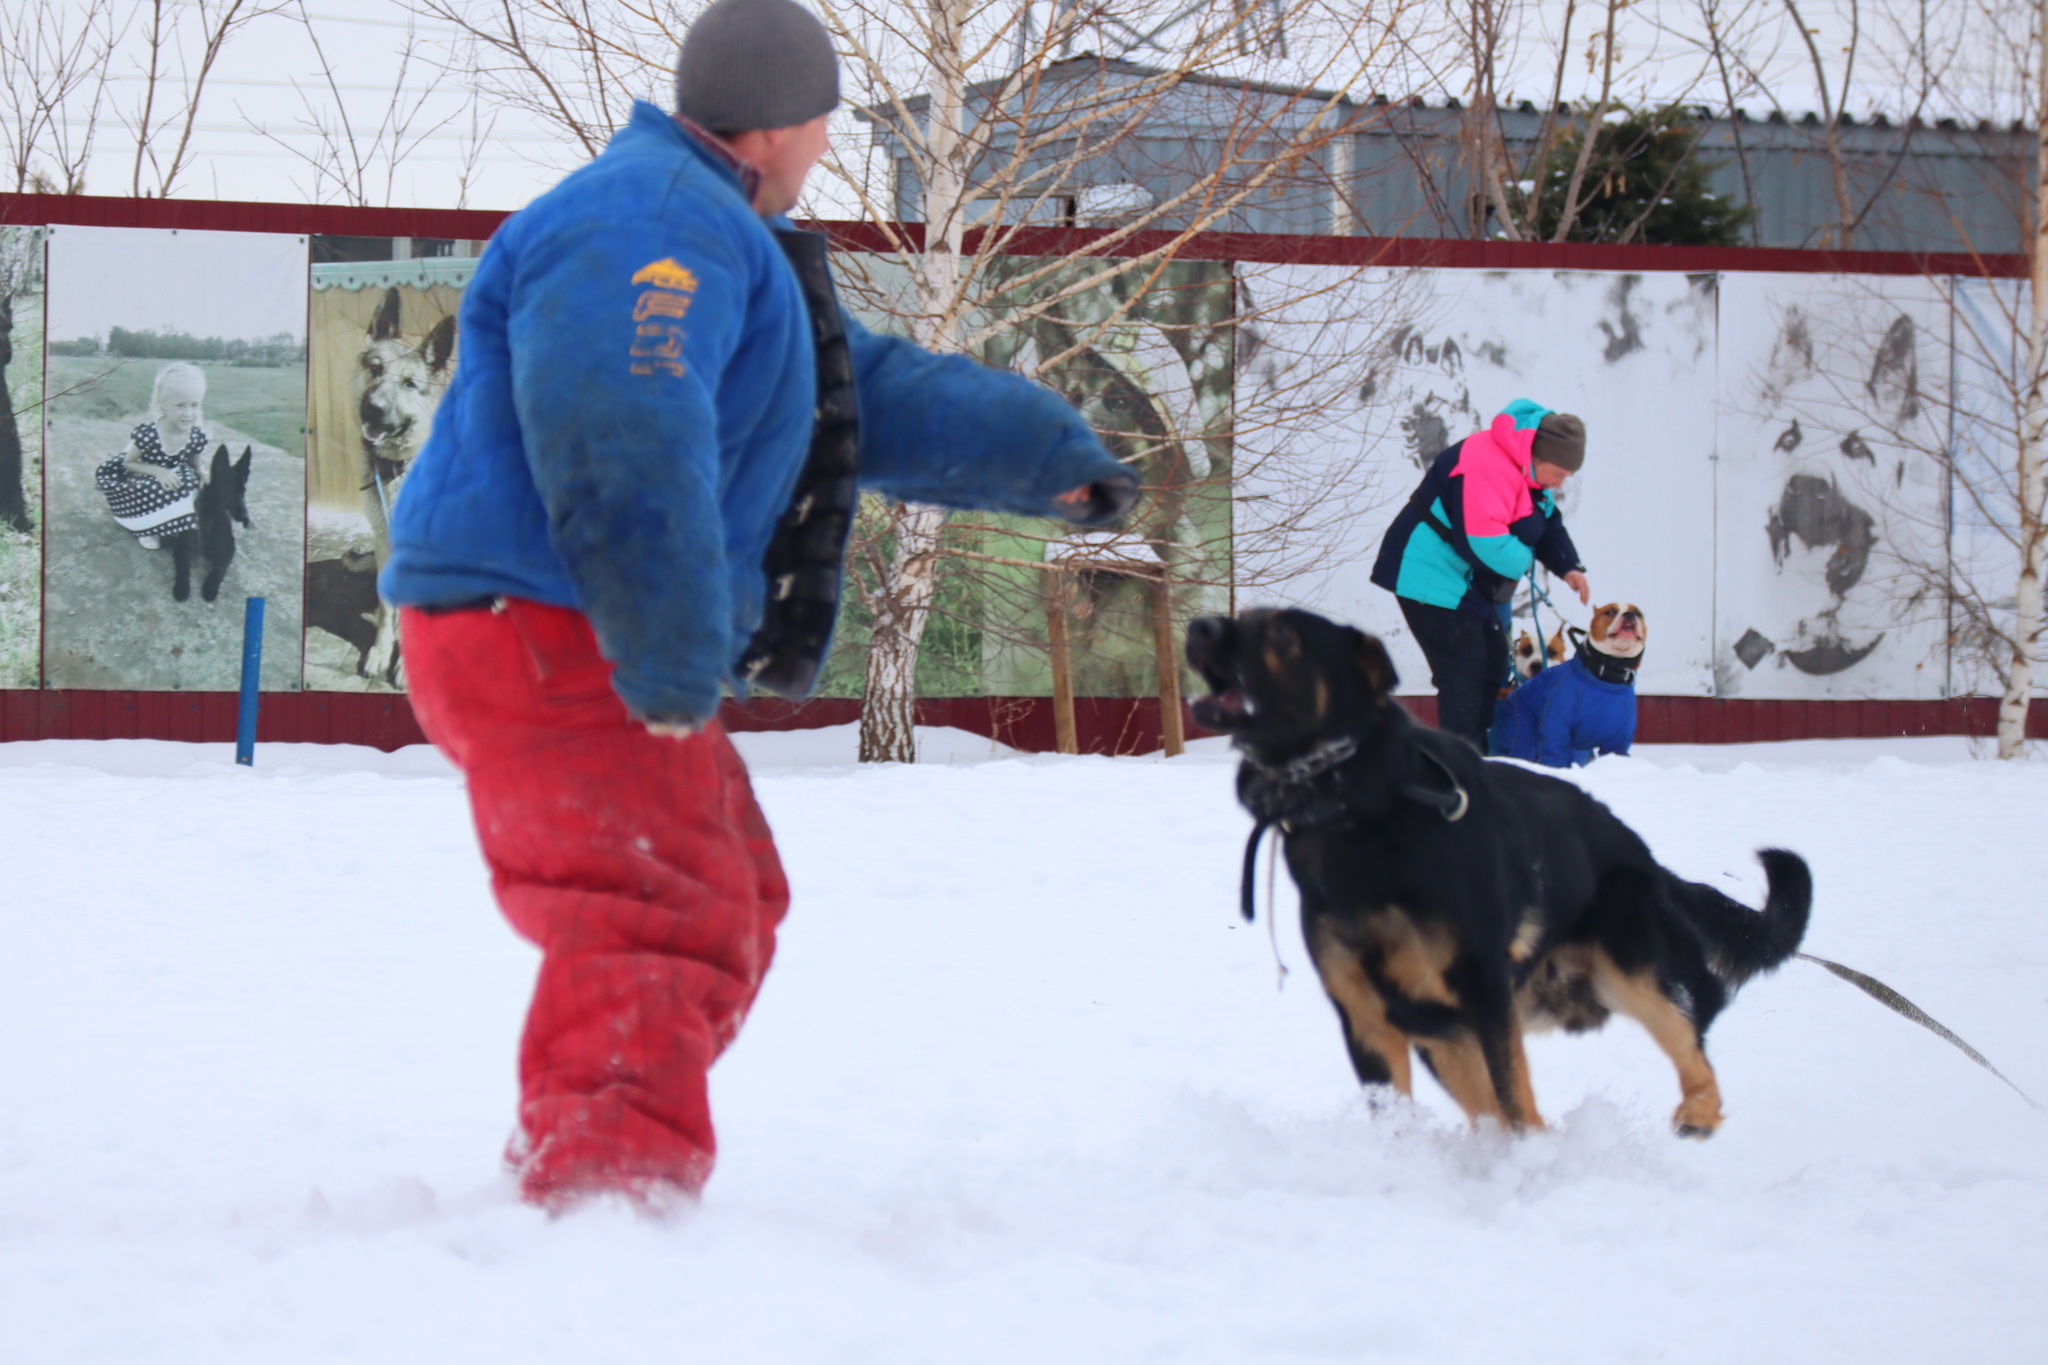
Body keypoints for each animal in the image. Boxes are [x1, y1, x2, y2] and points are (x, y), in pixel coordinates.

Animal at [172, 444, 251, 601]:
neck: (210, 516)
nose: (245, 515)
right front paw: (182, 586)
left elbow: (219, 568)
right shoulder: (182, 545)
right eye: (229, 490)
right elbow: (183, 563)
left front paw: (210, 586)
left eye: (243, 491)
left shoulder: (228, 548)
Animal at [1187, 613, 1810, 1137]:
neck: (1358, 806)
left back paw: (1697, 1112)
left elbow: (1513, 1095)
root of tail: (1648, 859)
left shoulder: (1484, 992)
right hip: (1442, 1029)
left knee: (1690, 1045)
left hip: (1628, 968)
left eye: (1282, 632)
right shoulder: (1367, 1015)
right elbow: (1408, 1110)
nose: (1198, 626)